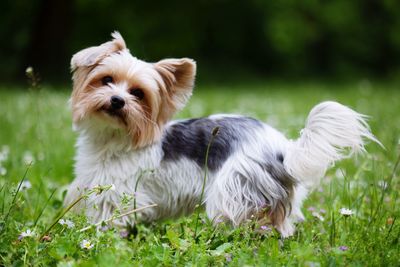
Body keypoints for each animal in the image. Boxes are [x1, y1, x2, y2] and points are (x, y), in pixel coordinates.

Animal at [65, 32, 378, 238]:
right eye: (106, 80)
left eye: (138, 94)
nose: (117, 100)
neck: (114, 138)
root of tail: (283, 149)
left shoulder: (116, 195)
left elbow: (107, 222)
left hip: (234, 190)